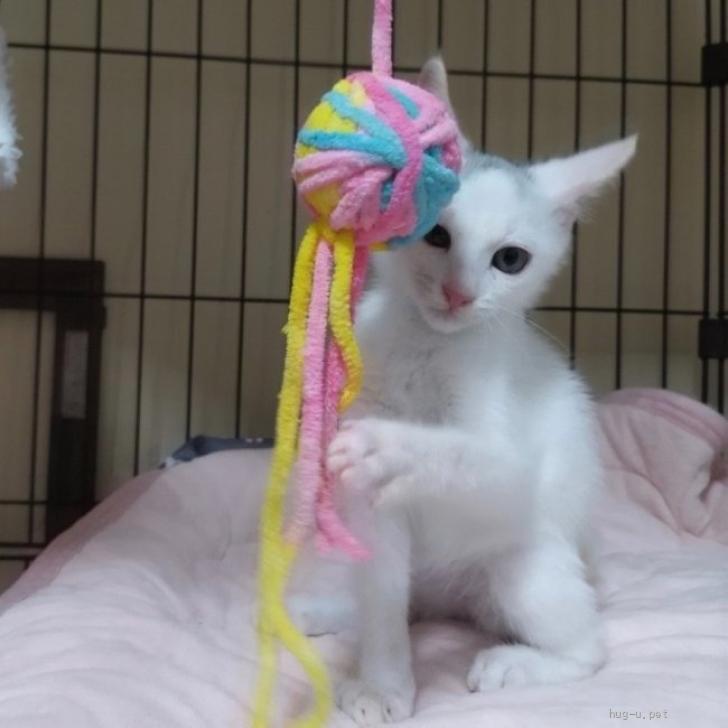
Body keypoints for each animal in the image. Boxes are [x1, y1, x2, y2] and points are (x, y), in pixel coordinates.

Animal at [288, 56, 637, 726]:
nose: (459, 295)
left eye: (510, 259)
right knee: (394, 600)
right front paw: (384, 685)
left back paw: (518, 663)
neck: (429, 346)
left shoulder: (511, 451)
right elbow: (381, 602)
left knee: (590, 646)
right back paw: (324, 610)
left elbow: (474, 456)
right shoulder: (375, 514)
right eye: (438, 237)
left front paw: (387, 448)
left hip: (525, 567)